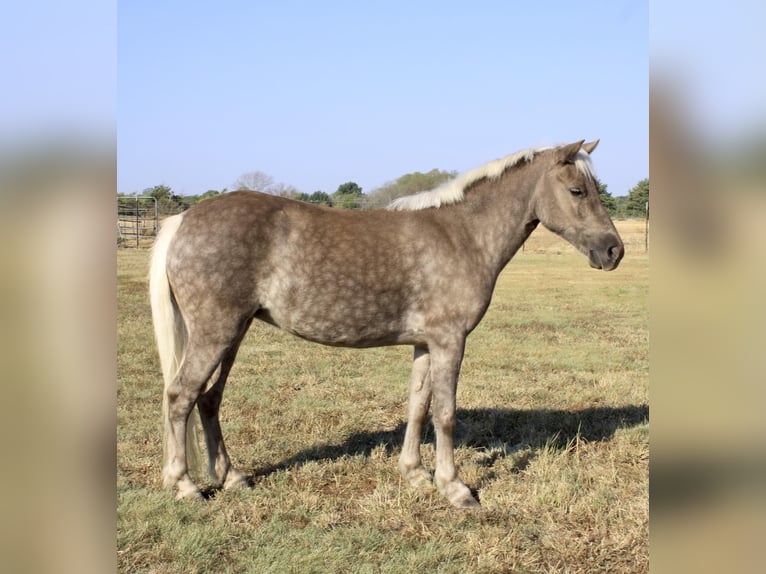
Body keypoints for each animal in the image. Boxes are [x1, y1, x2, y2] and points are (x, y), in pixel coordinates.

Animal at [150, 140, 624, 508]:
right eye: (577, 190)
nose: (613, 250)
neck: (462, 234)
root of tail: (183, 220)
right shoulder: (450, 340)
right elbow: (446, 414)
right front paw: (455, 488)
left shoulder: (425, 343)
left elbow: (418, 406)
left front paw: (414, 474)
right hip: (216, 333)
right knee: (180, 396)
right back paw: (185, 485)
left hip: (233, 332)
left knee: (209, 400)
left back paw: (231, 477)